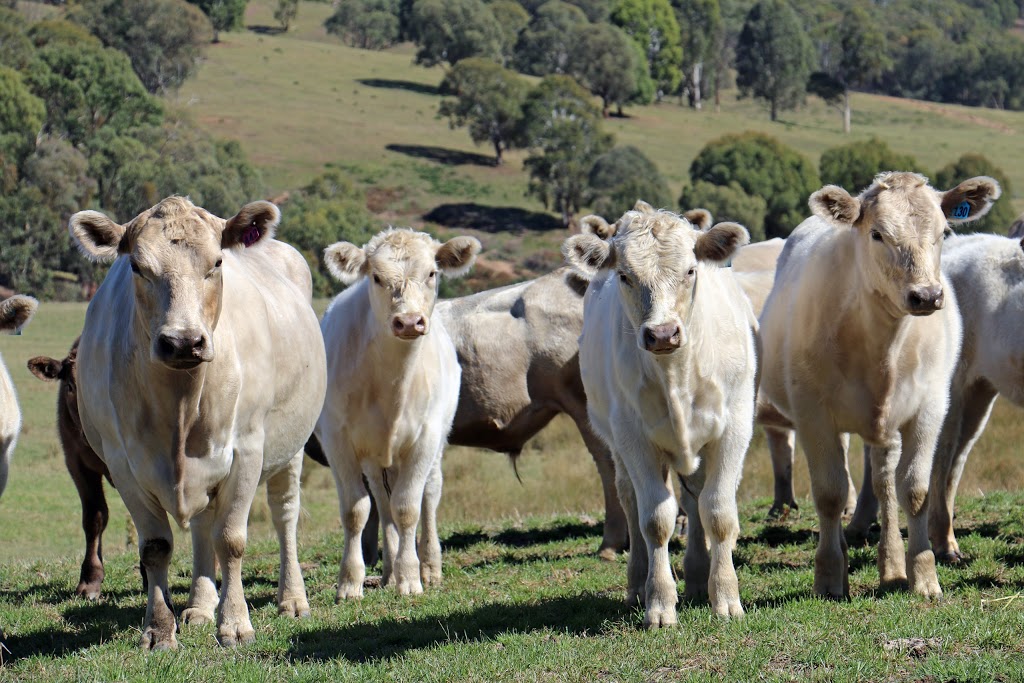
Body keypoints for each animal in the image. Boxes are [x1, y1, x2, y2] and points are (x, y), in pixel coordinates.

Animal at [70, 197, 325, 651]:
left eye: (217, 262)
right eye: (137, 266)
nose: (183, 341)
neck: (180, 407)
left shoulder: (247, 450)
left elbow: (232, 539)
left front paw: (235, 623)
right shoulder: (123, 466)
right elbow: (156, 546)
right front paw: (160, 628)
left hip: (291, 448)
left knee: (285, 516)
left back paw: (292, 598)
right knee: (203, 526)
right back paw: (200, 607)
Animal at [315, 228, 479, 598]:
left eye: (432, 273)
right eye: (376, 277)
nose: (408, 321)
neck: (390, 386)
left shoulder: (425, 438)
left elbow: (407, 507)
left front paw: (409, 577)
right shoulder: (338, 440)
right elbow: (357, 509)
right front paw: (351, 581)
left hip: (437, 443)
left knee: (429, 494)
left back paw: (429, 566)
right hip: (376, 459)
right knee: (380, 497)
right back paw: (388, 571)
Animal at [565, 205, 757, 626]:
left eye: (690, 270)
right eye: (624, 276)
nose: (663, 333)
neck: (676, 372)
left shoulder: (735, 427)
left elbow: (717, 511)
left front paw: (726, 596)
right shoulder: (633, 437)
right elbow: (655, 518)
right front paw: (660, 602)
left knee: (695, 497)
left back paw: (699, 577)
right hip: (616, 441)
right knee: (631, 499)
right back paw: (639, 583)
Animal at [761, 174, 999, 602]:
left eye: (943, 232)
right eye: (877, 233)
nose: (926, 295)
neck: (881, 345)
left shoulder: (929, 409)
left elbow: (915, 490)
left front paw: (924, 576)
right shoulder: (812, 414)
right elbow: (830, 493)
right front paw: (829, 577)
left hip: (887, 426)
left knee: (884, 480)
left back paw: (891, 567)